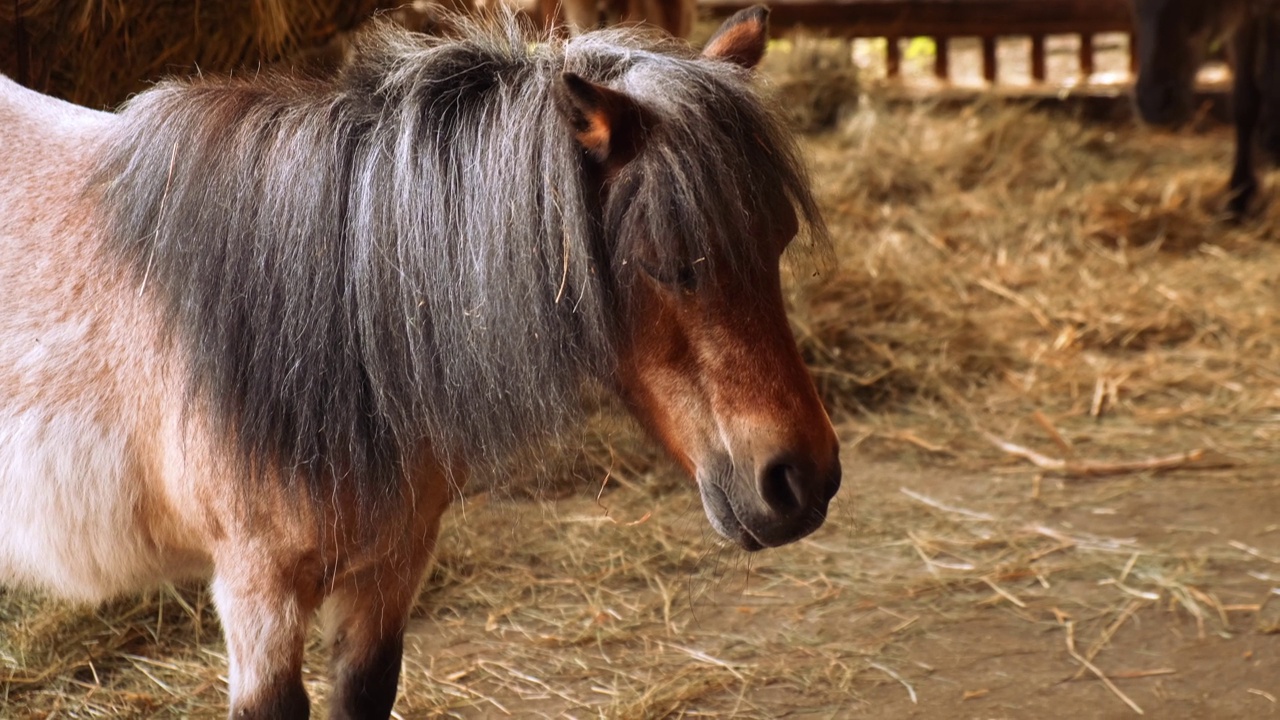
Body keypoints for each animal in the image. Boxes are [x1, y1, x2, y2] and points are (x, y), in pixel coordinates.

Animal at [0, 7, 839, 717]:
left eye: (779, 239)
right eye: (669, 263)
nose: (802, 481)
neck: (334, 331)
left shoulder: (390, 570)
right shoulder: (256, 593)